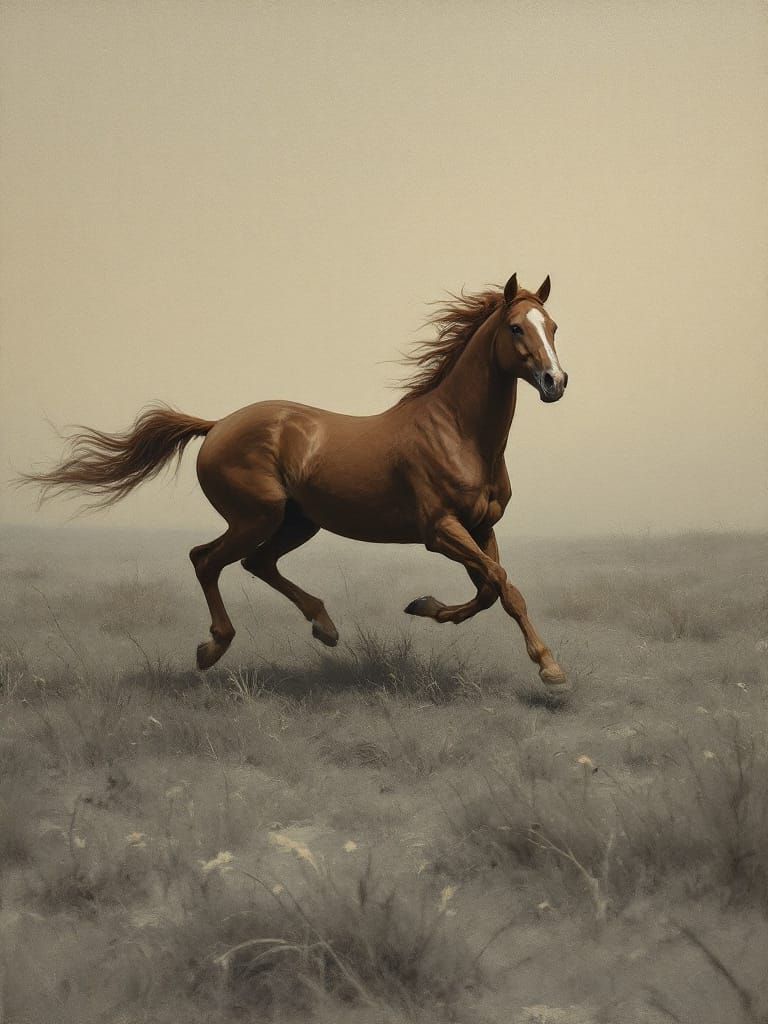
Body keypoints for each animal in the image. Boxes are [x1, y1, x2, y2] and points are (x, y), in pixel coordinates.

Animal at [21, 273, 571, 692]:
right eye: (517, 328)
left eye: (554, 327)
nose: (555, 383)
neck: (457, 431)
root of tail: (217, 425)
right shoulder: (440, 531)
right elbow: (501, 583)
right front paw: (549, 667)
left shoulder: (481, 528)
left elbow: (493, 590)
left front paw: (426, 607)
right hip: (256, 516)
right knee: (207, 559)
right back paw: (212, 648)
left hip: (297, 522)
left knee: (255, 562)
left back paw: (323, 626)